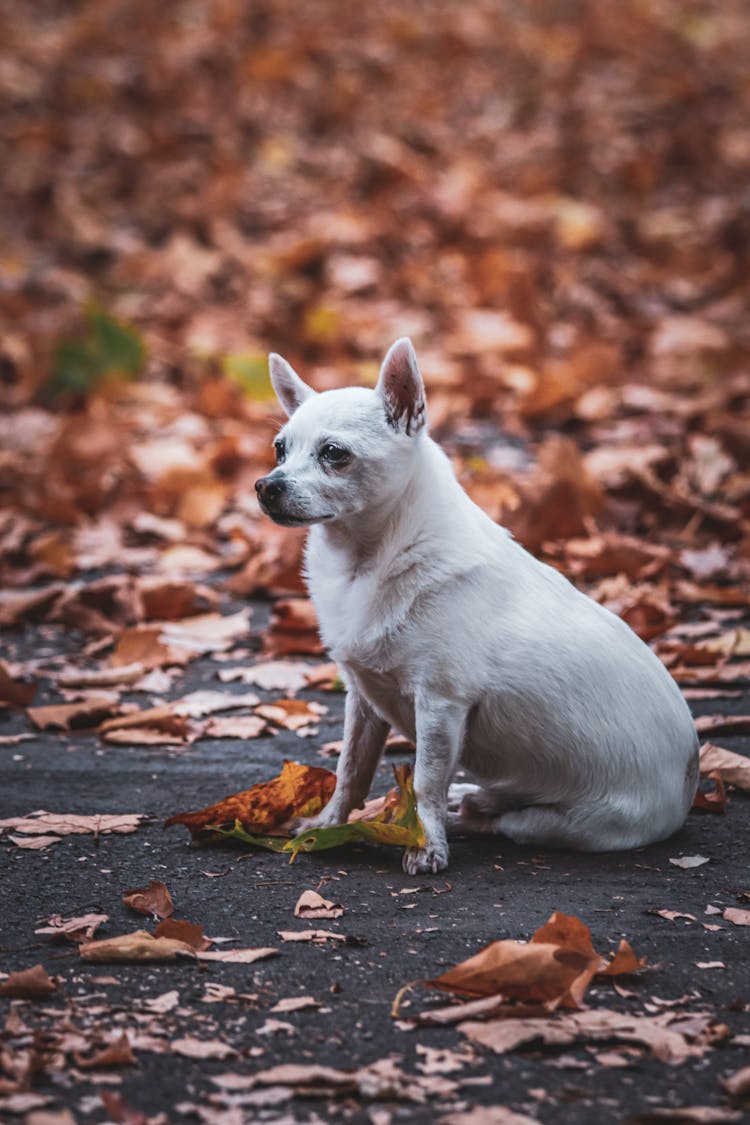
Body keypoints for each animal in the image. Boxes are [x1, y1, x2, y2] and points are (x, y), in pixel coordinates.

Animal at [255, 337, 701, 873]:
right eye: (280, 449)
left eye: (334, 454)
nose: (266, 485)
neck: (366, 560)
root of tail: (690, 778)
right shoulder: (363, 700)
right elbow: (350, 770)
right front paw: (327, 827)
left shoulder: (440, 704)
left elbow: (425, 780)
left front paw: (426, 844)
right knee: (484, 799)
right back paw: (471, 796)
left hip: (558, 824)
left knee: (498, 820)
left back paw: (464, 812)